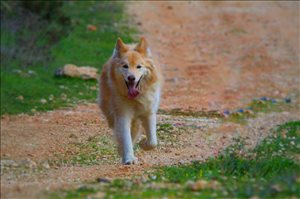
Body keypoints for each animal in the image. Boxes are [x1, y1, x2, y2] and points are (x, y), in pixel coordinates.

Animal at [99, 37, 162, 165]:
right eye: (125, 66)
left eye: (139, 66)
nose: (131, 78)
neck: (136, 98)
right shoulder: (123, 116)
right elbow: (126, 138)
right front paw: (129, 159)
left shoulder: (149, 113)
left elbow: (153, 141)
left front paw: (143, 144)